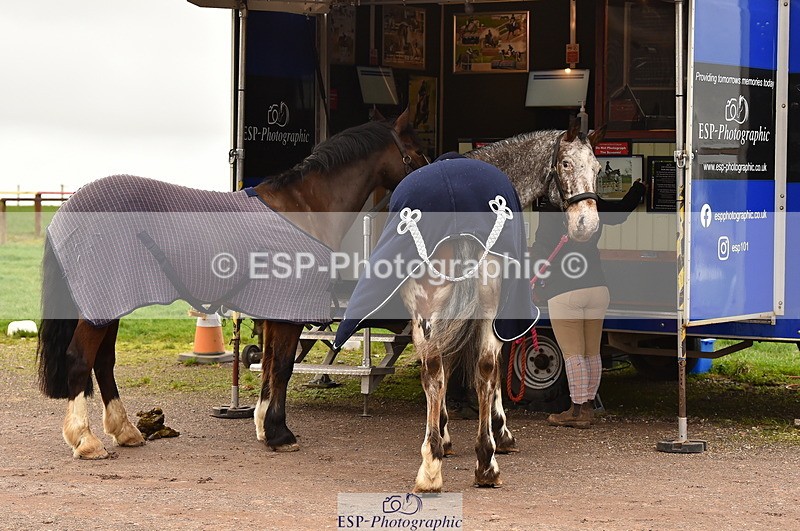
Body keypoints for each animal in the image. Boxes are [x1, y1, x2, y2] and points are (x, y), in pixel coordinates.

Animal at [36, 109, 429, 459]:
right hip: (101, 305)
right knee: (80, 360)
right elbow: (282, 366)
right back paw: (86, 441)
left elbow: (269, 365)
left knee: (103, 363)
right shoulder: (288, 309)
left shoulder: (275, 310)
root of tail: (68, 209)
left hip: (108, 304)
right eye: (416, 150)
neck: (305, 207)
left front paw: (264, 427)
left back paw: (126, 431)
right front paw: (279, 434)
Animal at [333, 119, 604, 491]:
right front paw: (497, 432)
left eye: (598, 168)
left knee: (439, 370)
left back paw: (441, 463)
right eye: (565, 164)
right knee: (478, 368)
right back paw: (477, 461)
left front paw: (448, 436)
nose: (586, 225)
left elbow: (451, 369)